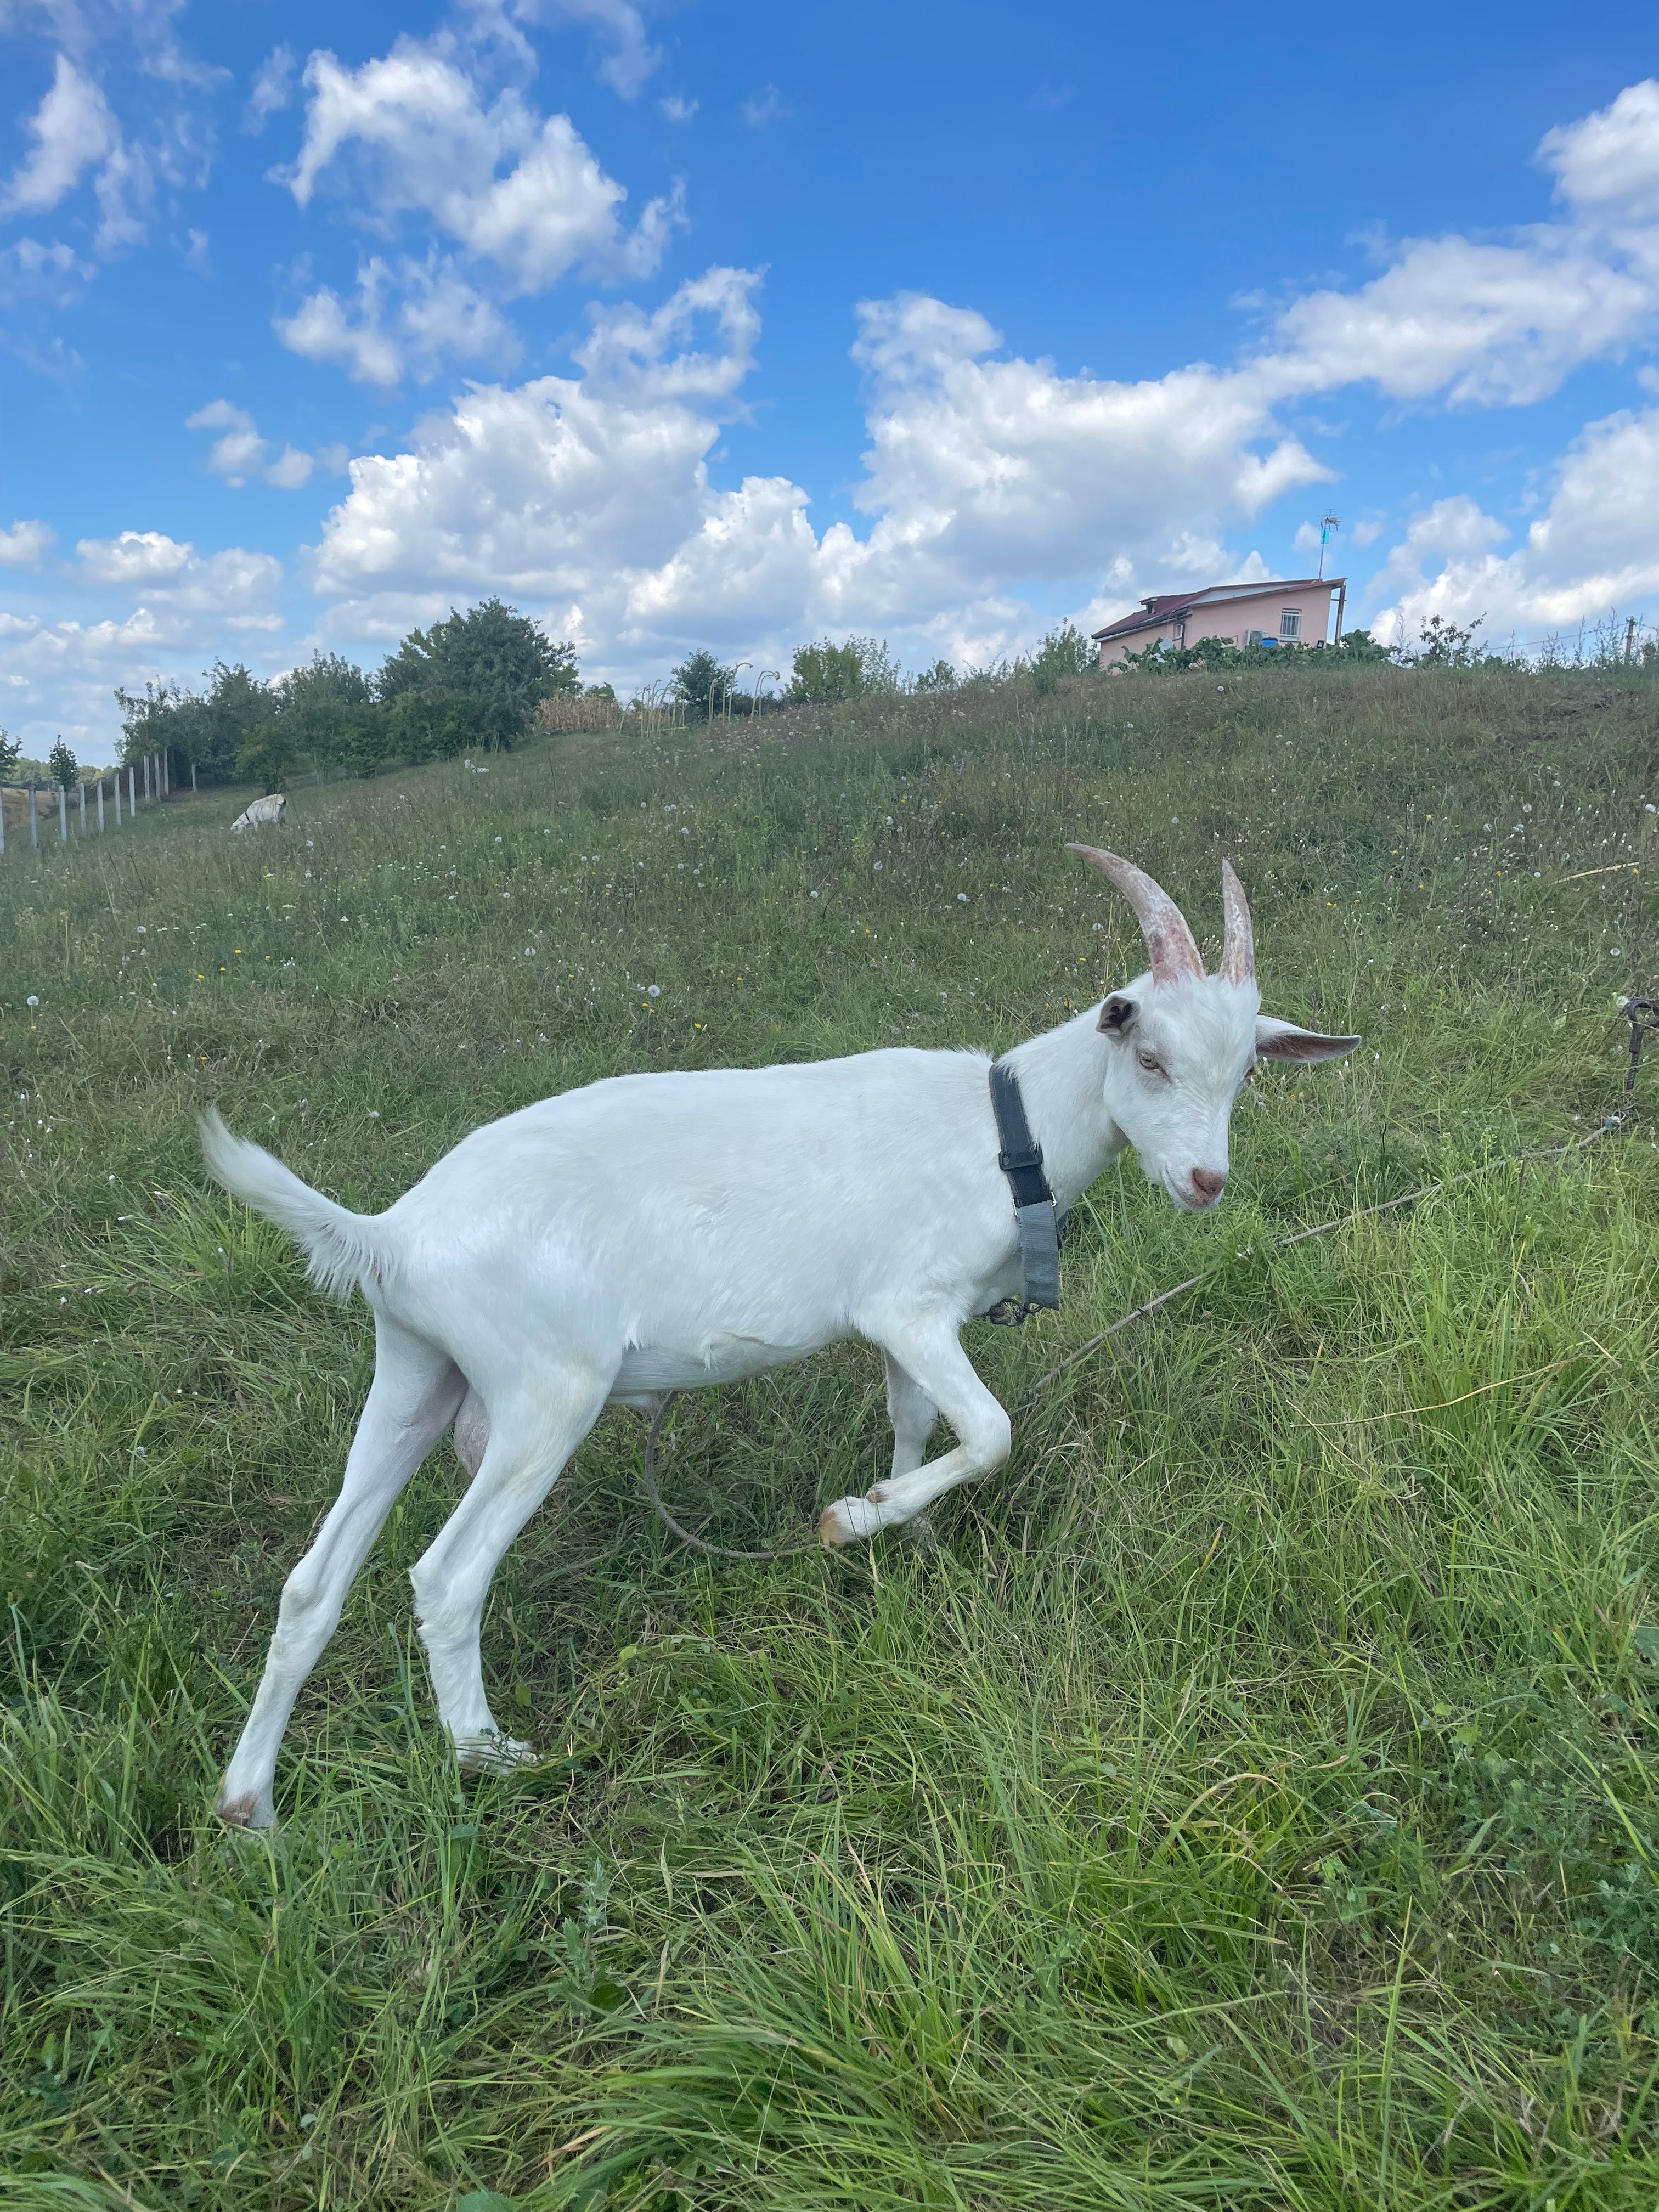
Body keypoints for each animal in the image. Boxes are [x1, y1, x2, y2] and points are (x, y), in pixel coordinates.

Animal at [198, 836, 1362, 1822]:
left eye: (1244, 1071)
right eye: (1150, 1056)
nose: (1205, 1181)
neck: (1005, 1130)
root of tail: (392, 1235)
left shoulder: (908, 1322)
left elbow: (916, 1421)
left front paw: (907, 1532)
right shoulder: (905, 1302)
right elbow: (989, 1433)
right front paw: (852, 1518)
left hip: (415, 1373)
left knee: (313, 1581)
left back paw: (251, 1806)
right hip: (544, 1391)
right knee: (445, 1576)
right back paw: (489, 1756)